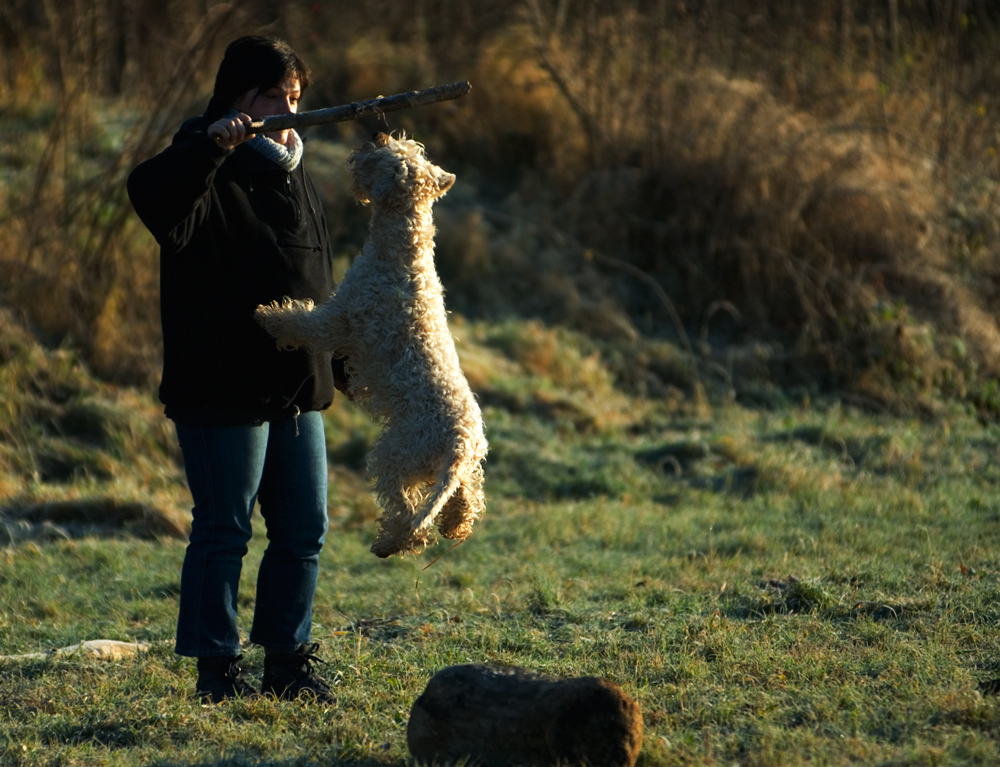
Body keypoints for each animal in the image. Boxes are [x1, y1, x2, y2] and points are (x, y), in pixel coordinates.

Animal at [256, 134, 486, 560]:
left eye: (389, 155)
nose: (375, 137)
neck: (404, 249)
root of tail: (460, 444)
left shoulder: (338, 318)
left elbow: (303, 322)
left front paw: (266, 316)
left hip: (393, 456)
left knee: (409, 515)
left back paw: (387, 543)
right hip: (455, 471)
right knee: (464, 501)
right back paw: (452, 526)